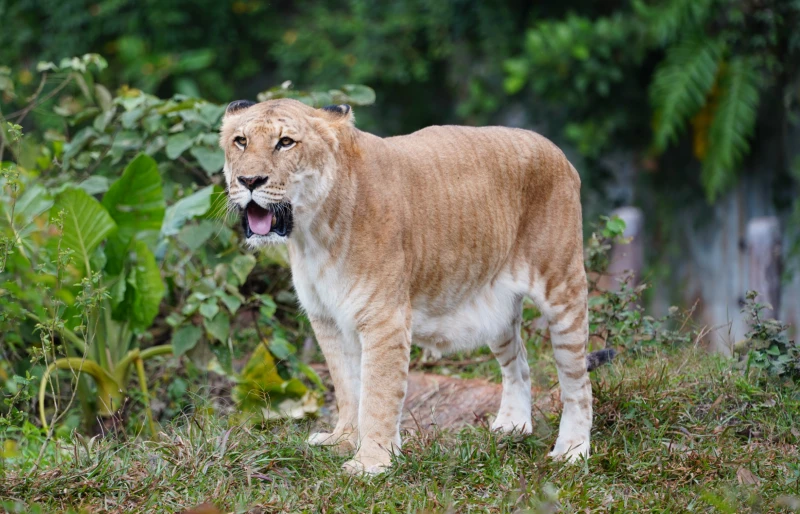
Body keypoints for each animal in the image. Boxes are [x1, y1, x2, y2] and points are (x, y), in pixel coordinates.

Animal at [219, 98, 614, 474]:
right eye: (241, 141)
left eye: (285, 142)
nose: (249, 181)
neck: (313, 234)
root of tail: (556, 151)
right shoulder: (327, 319)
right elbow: (347, 387)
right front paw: (342, 441)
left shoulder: (384, 319)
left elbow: (377, 396)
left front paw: (370, 463)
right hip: (497, 308)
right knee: (520, 363)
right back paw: (512, 427)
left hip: (562, 287)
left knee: (577, 382)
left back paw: (572, 451)